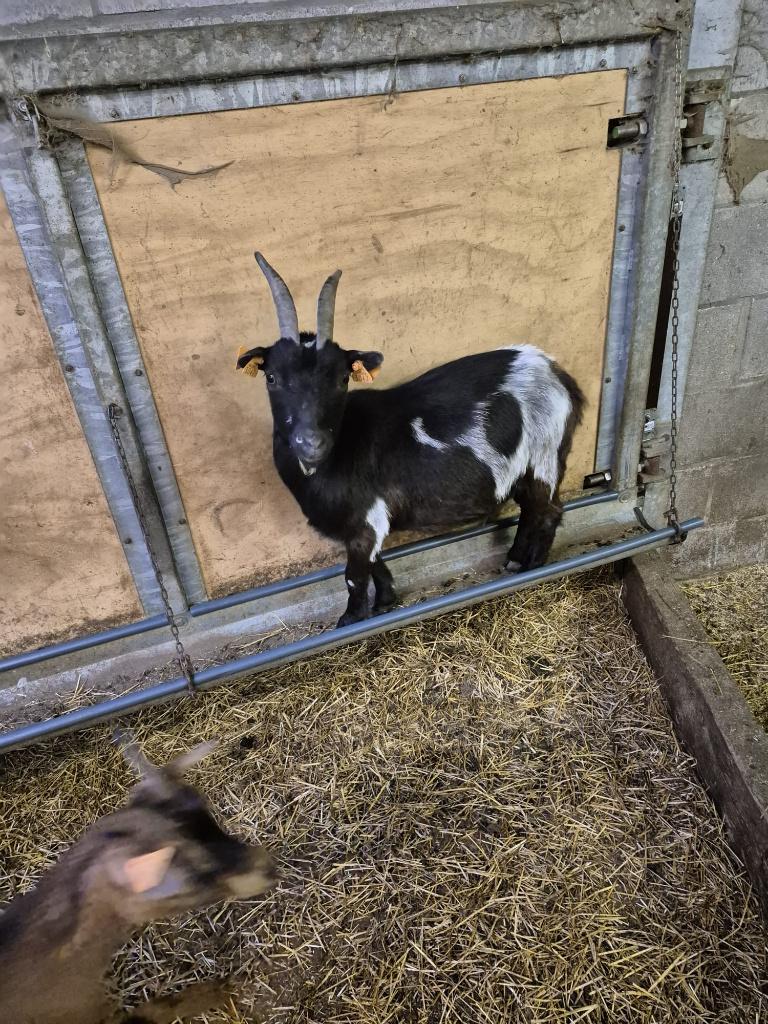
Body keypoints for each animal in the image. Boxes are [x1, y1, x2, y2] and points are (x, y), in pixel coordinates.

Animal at [237, 254, 585, 627]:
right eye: (271, 377)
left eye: (343, 378)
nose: (311, 442)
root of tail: (555, 371)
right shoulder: (364, 524)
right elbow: (376, 564)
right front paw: (385, 601)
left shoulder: (366, 520)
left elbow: (354, 577)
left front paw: (352, 619)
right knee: (530, 510)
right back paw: (514, 560)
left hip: (545, 456)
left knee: (547, 512)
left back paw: (531, 564)